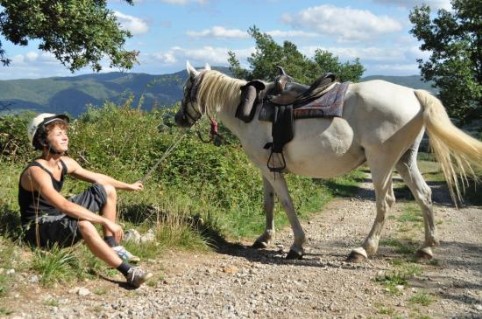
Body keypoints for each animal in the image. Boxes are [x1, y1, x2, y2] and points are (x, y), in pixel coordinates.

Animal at [176, 62, 482, 262]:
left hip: (382, 161)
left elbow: (286, 202)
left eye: (186, 89)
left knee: (386, 201)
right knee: (424, 195)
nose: (179, 119)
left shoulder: (271, 169)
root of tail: (413, 94)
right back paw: (426, 248)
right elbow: (269, 202)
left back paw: (364, 249)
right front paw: (264, 238)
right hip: (405, 160)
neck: (249, 110)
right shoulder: (265, 167)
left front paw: (297, 245)